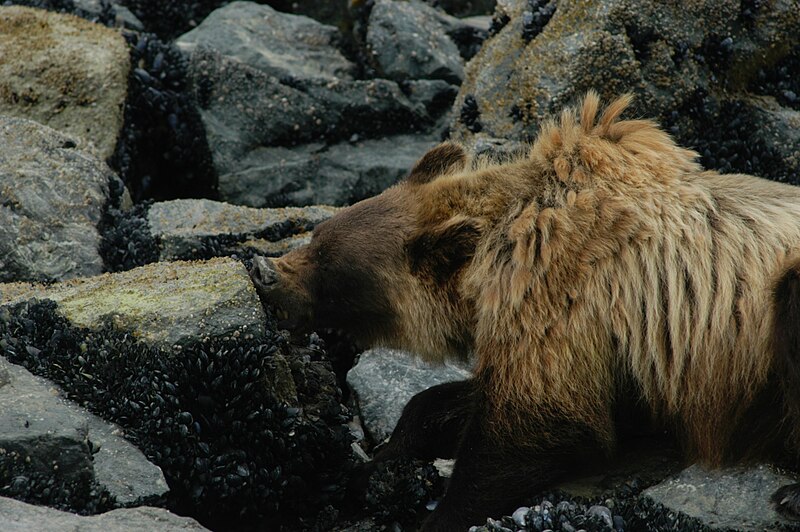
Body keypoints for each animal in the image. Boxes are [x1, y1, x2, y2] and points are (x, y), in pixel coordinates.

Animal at [250, 93, 800, 528]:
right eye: (317, 235)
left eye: (332, 269)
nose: (264, 272)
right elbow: (451, 402)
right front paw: (376, 464)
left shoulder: (561, 300)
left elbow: (536, 422)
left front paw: (440, 512)